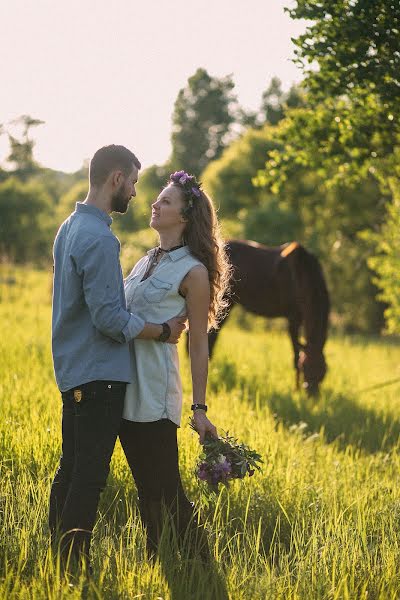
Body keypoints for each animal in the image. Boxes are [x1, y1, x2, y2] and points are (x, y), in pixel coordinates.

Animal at [208, 237, 330, 396]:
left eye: (324, 372)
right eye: (305, 367)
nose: (312, 396)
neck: (301, 275)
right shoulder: (293, 318)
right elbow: (295, 354)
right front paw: (295, 390)